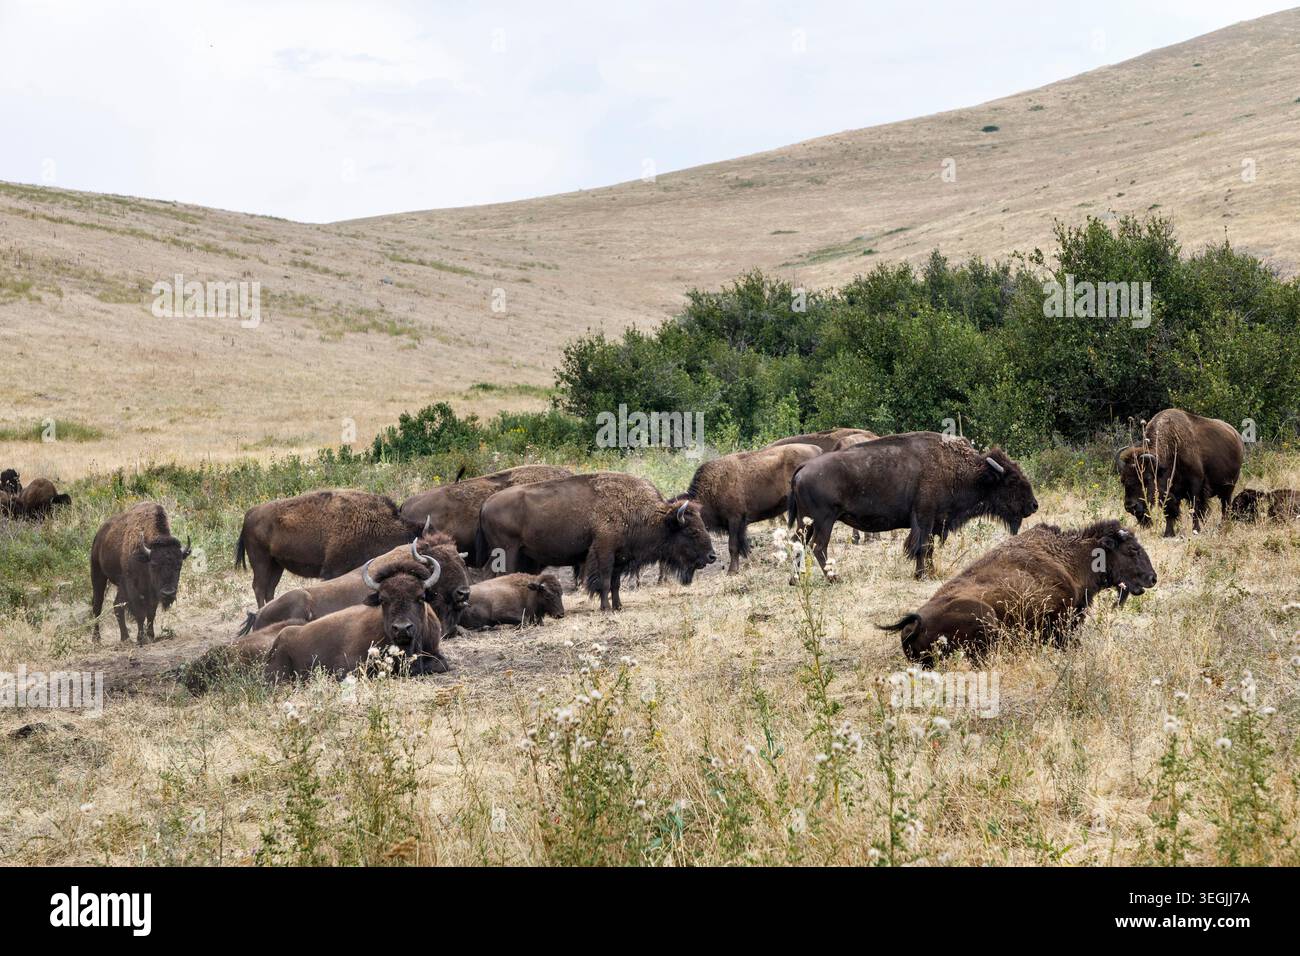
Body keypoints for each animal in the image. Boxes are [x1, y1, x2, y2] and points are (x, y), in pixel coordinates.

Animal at [90, 502, 192, 644]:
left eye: (179, 566)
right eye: (154, 565)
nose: (168, 593)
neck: (145, 557)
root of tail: (99, 535)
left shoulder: (153, 591)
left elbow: (151, 612)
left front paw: (150, 635)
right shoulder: (133, 587)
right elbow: (140, 613)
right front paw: (141, 638)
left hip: (119, 585)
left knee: (117, 605)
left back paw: (125, 638)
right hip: (98, 575)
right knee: (98, 606)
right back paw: (98, 639)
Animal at [236, 489, 429, 607]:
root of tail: (249, 514)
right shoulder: (333, 570)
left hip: (276, 565)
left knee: (269, 589)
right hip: (261, 562)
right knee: (259, 587)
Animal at [475, 472, 716, 610]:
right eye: (692, 532)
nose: (712, 556)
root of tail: (485, 504)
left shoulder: (620, 556)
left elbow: (615, 583)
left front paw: (618, 606)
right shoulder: (604, 551)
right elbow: (604, 580)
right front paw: (606, 607)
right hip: (507, 551)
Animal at [787, 432, 1038, 578]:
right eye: (1012, 480)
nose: (1034, 505)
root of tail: (803, 467)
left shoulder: (934, 522)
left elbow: (929, 549)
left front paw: (930, 572)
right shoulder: (924, 519)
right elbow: (922, 547)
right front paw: (922, 574)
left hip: (806, 522)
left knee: (798, 544)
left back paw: (795, 580)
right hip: (824, 521)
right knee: (819, 547)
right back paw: (834, 578)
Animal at [1116, 409, 1244, 537]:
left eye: (1146, 479)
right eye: (1123, 480)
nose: (1130, 506)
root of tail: (1236, 436)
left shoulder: (1195, 486)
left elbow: (1195, 509)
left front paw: (1196, 530)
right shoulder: (1168, 493)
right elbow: (1169, 512)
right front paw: (1168, 533)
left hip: (1229, 487)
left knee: (1225, 506)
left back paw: (1223, 527)